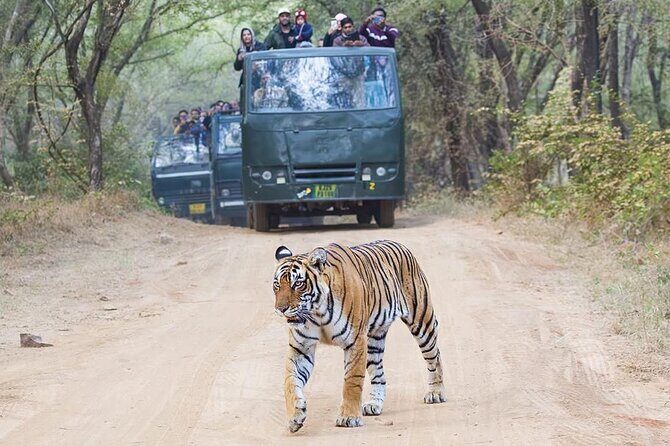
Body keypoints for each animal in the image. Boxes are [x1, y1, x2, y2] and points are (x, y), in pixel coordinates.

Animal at [272, 240, 446, 433]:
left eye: (298, 284)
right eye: (277, 285)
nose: (280, 309)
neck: (317, 313)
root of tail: (401, 245)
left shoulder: (355, 341)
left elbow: (352, 381)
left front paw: (349, 417)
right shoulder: (300, 347)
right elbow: (290, 381)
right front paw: (295, 416)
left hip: (422, 322)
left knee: (434, 357)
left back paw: (436, 392)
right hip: (374, 342)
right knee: (379, 374)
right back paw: (374, 404)